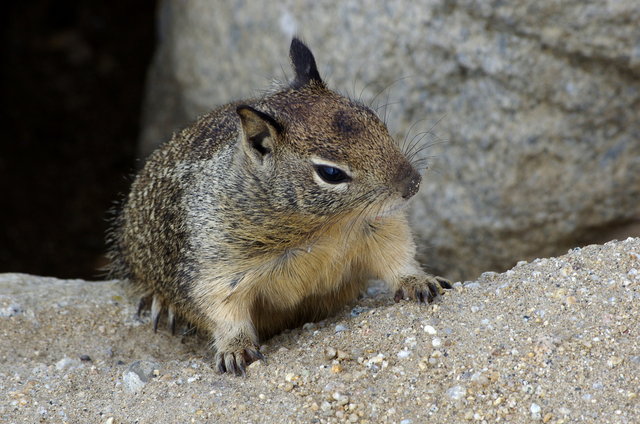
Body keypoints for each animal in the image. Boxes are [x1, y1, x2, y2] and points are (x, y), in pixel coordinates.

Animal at [107, 36, 450, 374]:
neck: (325, 226)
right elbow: (224, 312)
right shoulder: (217, 269)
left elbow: (397, 258)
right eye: (331, 173)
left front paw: (419, 282)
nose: (413, 183)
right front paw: (235, 349)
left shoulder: (379, 226)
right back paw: (161, 304)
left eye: (374, 119)